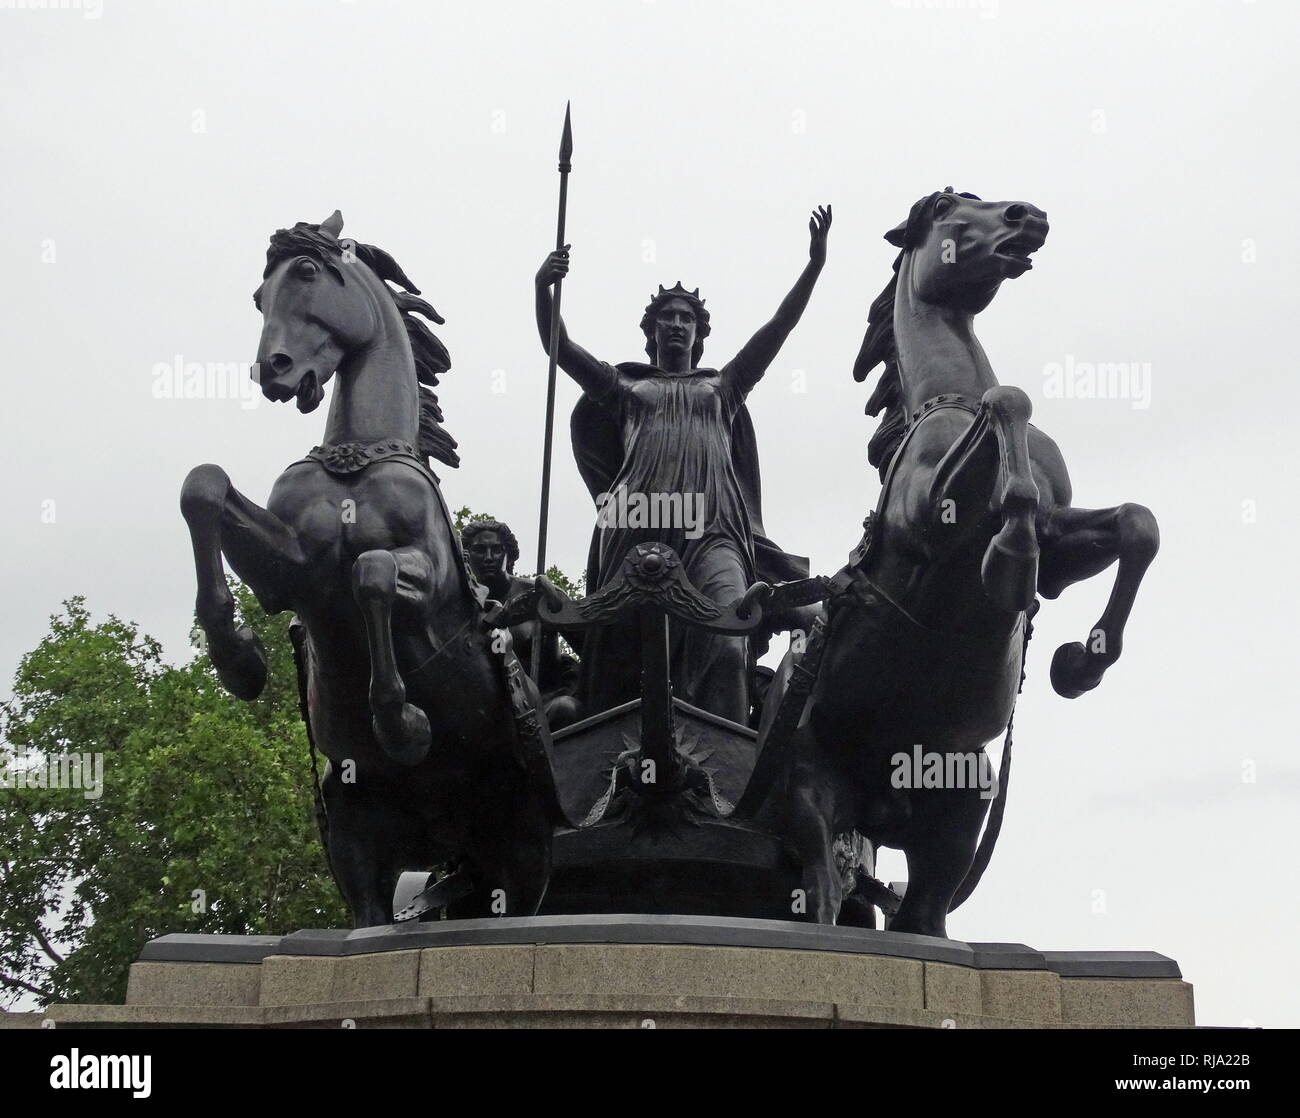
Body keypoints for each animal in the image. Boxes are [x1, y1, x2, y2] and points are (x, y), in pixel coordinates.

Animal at [180, 209, 556, 925]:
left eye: (306, 273)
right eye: (258, 296)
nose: (274, 370)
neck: (357, 455)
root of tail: (446, 842)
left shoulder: (428, 576)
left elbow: (373, 574)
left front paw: (401, 725)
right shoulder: (289, 571)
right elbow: (203, 487)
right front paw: (239, 658)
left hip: (520, 847)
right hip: (358, 844)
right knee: (370, 914)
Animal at [759, 189, 1159, 935]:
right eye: (948, 210)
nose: (1027, 215)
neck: (952, 400)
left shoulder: (1064, 548)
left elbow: (1135, 526)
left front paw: (1081, 661)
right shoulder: (927, 520)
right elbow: (1010, 405)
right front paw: (1007, 557)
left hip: (960, 807)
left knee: (922, 917)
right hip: (807, 795)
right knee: (821, 896)